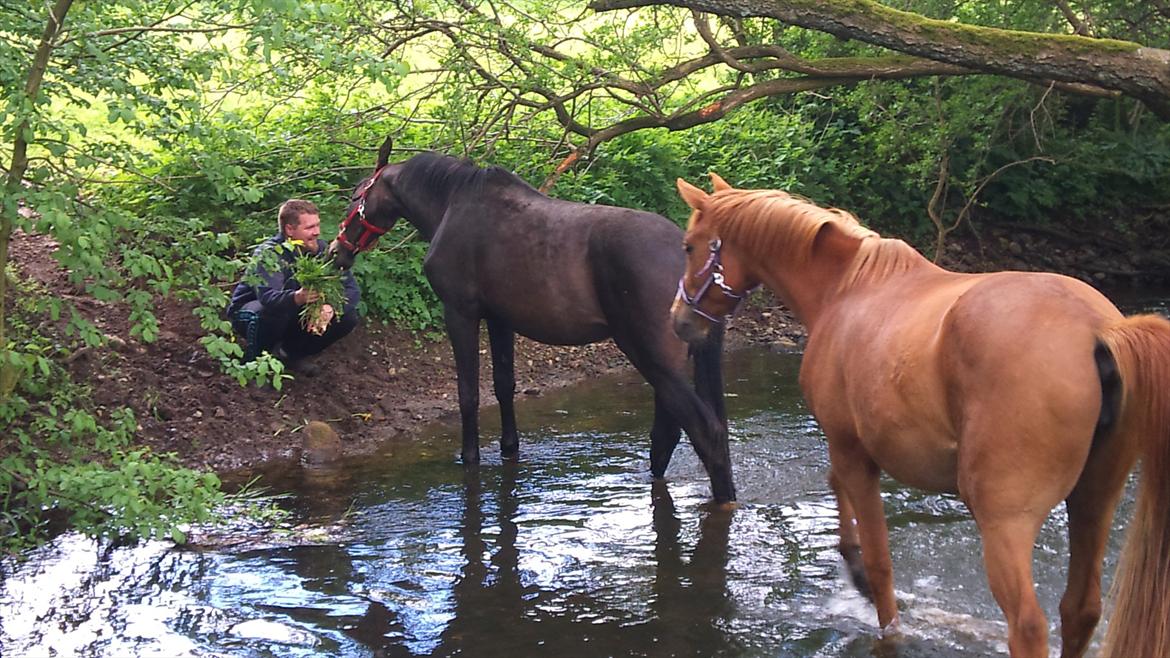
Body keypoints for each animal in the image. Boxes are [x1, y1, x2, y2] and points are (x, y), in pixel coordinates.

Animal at [325, 141, 734, 498]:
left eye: (355, 196)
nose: (336, 252)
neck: (451, 206)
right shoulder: (500, 319)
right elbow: (504, 385)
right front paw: (509, 447)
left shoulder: (460, 312)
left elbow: (468, 394)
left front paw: (469, 457)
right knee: (669, 435)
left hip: (652, 357)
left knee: (704, 432)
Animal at [669, 174, 1170, 655]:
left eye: (690, 245)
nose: (679, 321)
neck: (845, 289)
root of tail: (1099, 330)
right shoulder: (848, 448)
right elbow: (835, 488)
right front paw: (849, 559)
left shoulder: (853, 451)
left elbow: (879, 562)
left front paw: (878, 607)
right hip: (1093, 501)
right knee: (1080, 610)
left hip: (1006, 519)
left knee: (1028, 625)